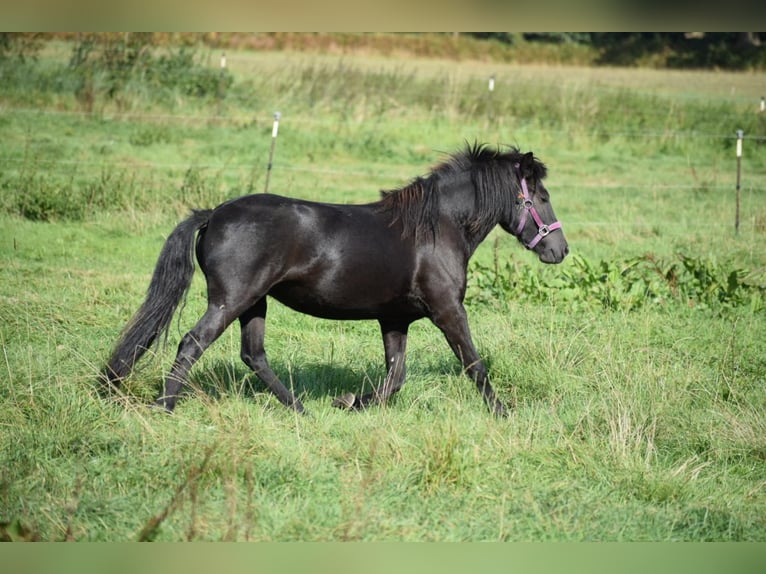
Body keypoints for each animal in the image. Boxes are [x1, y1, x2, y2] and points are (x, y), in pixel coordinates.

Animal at [101, 143, 568, 417]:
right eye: (542, 197)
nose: (559, 250)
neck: (437, 228)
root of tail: (214, 214)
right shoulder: (448, 310)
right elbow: (474, 364)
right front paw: (503, 413)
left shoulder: (394, 319)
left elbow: (394, 378)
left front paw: (350, 402)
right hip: (231, 300)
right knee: (193, 344)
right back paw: (165, 407)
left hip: (254, 302)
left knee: (254, 355)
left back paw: (301, 410)